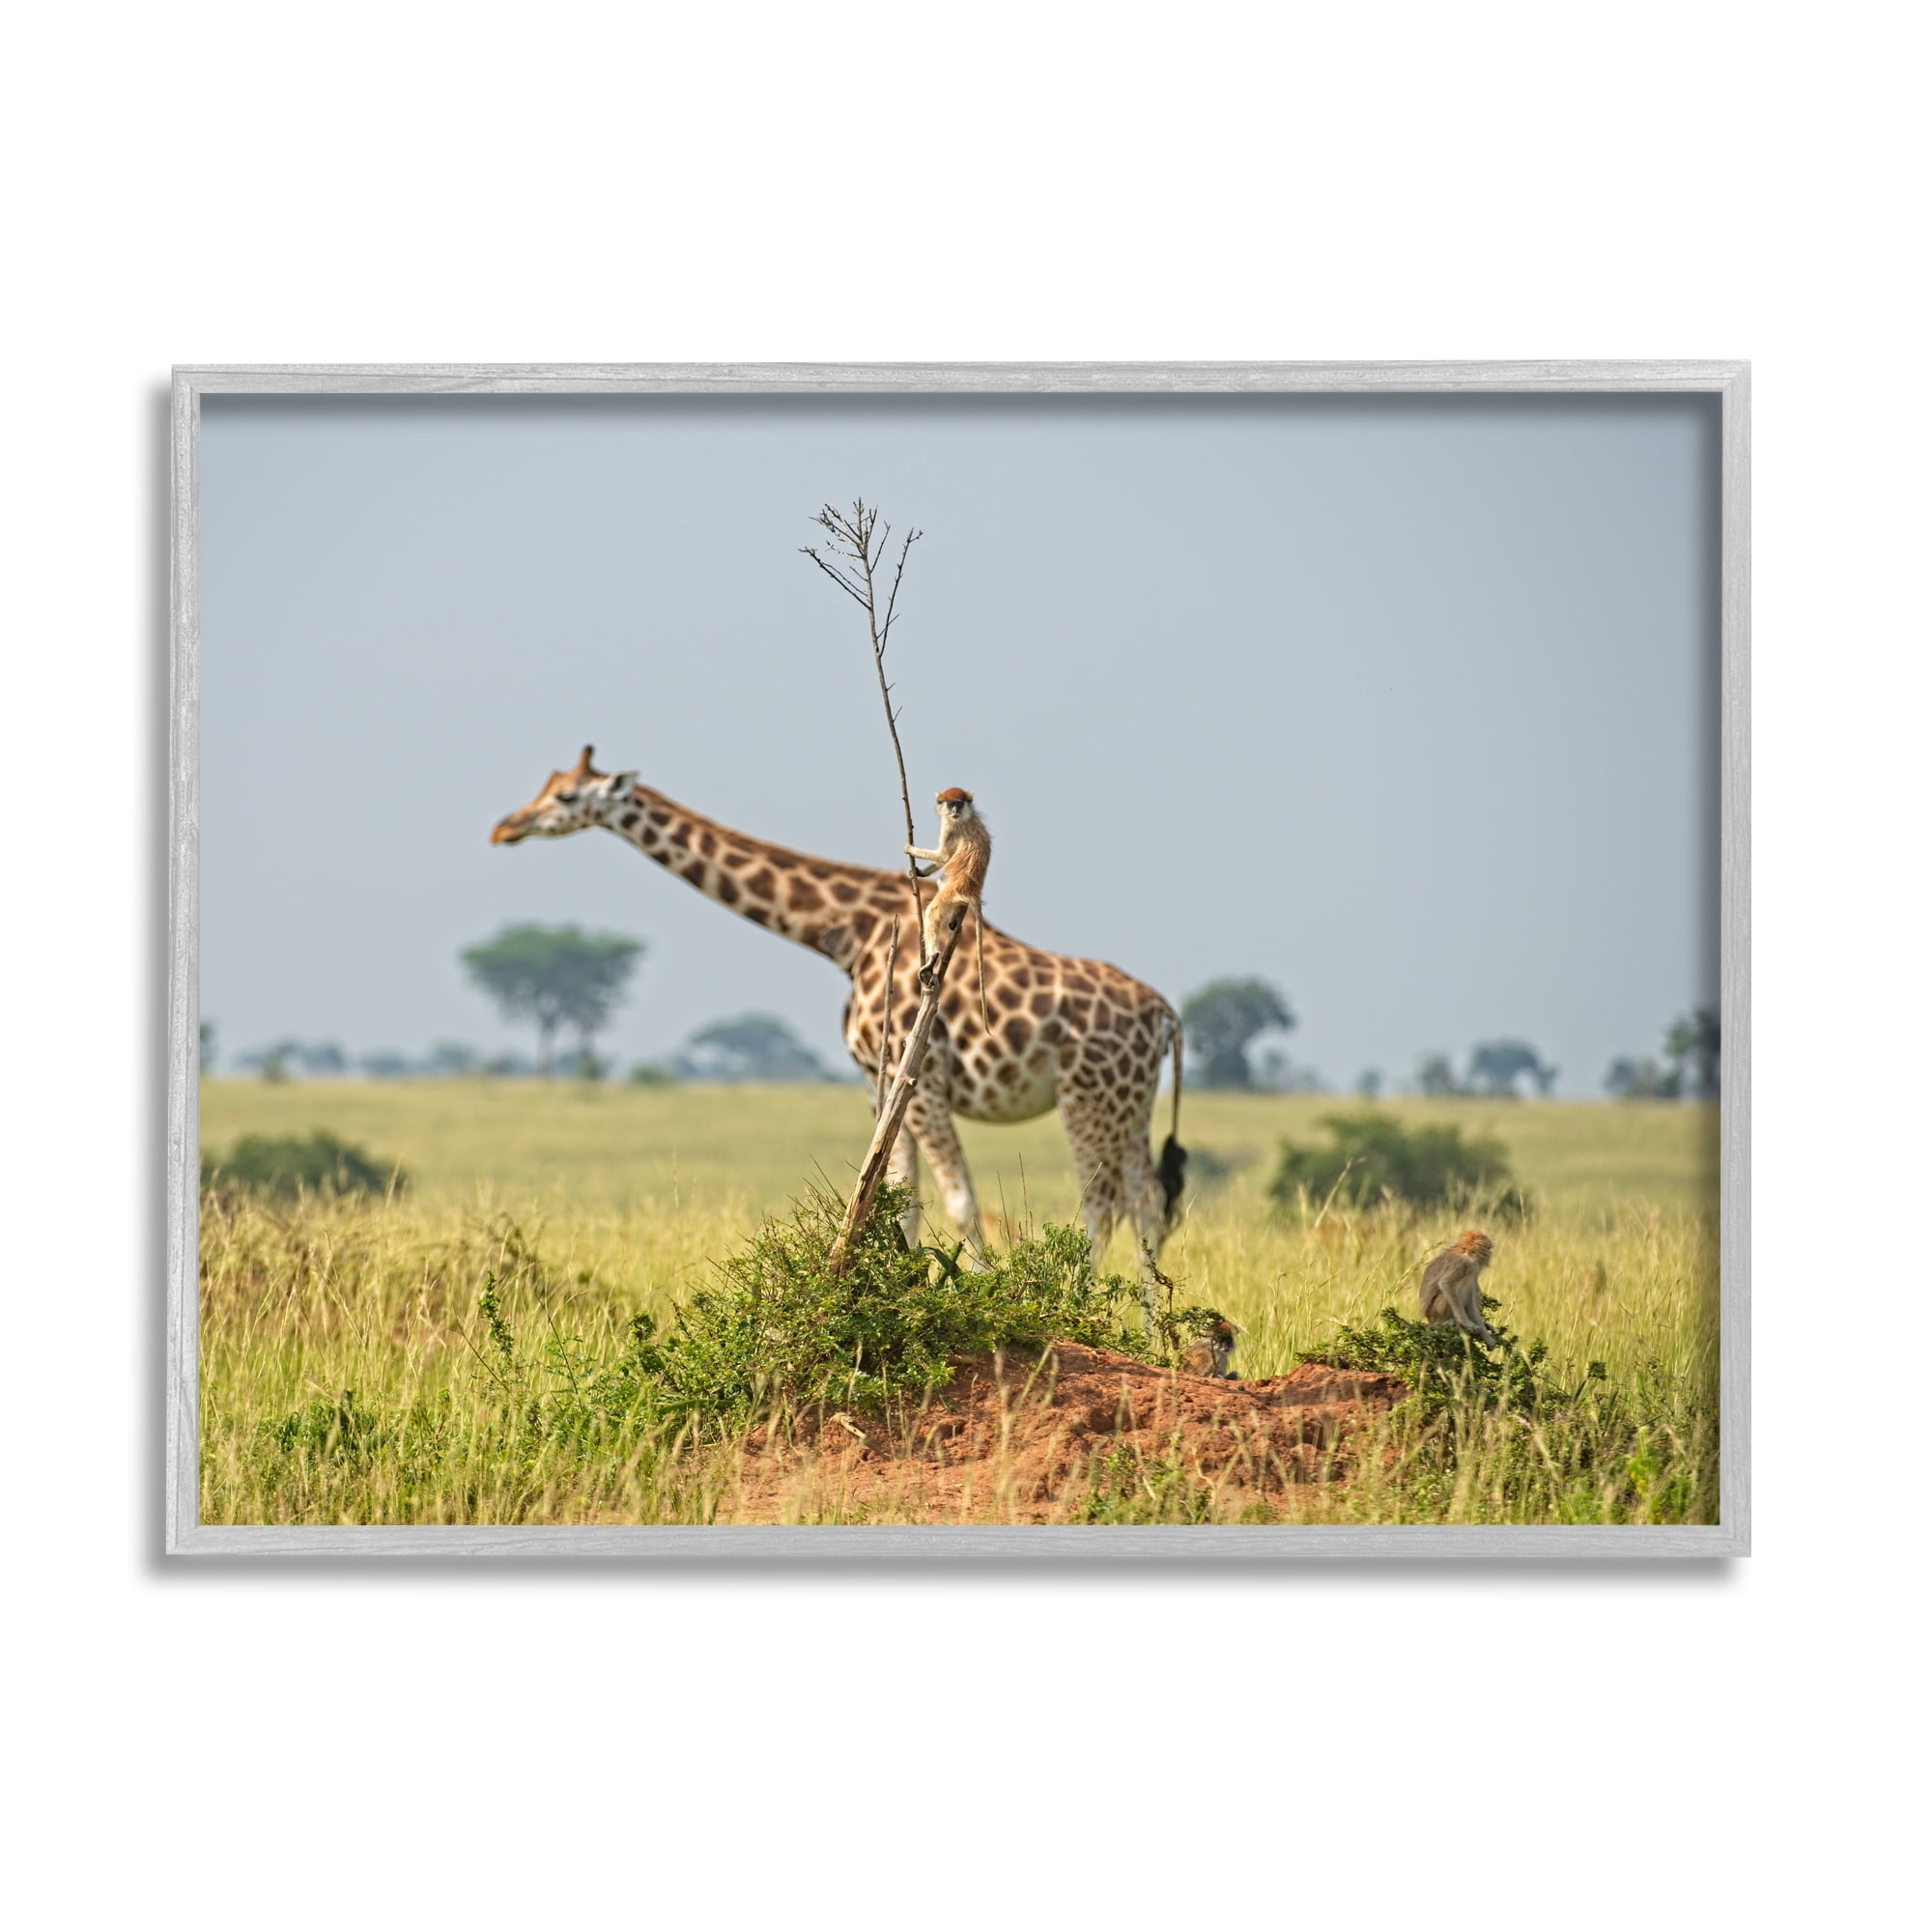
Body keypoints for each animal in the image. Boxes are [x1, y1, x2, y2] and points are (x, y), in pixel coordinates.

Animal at [906, 786, 993, 1032]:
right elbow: (943, 860)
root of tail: (972, 890)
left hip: (951, 892)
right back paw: (955, 919)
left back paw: (932, 959)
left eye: (959, 803)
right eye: (950, 803)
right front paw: (919, 872)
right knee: (942, 883)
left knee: (933, 911)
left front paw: (911, 849)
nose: (954, 810)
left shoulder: (951, 830)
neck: (966, 816)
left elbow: (943, 856)